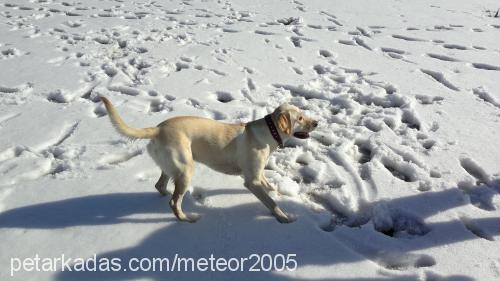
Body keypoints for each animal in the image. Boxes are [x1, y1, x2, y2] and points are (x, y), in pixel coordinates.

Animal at [100, 97, 316, 223]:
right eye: (300, 118)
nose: (317, 122)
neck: (269, 132)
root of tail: (158, 129)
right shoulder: (251, 181)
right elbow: (271, 202)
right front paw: (284, 217)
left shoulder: (258, 173)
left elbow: (269, 187)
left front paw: (279, 193)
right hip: (186, 169)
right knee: (173, 202)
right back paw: (187, 218)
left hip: (173, 167)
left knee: (161, 187)